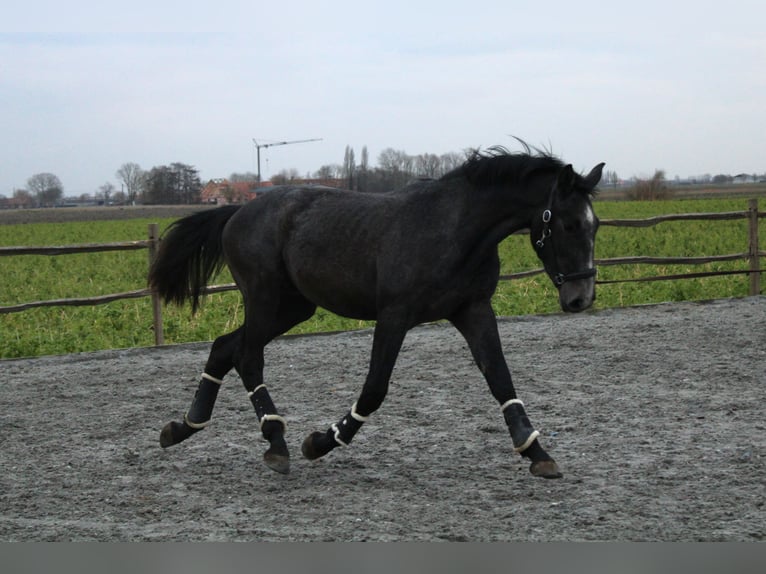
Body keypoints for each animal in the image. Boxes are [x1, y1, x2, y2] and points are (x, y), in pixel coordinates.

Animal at [150, 146, 608, 480]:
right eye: (567, 224)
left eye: (596, 224)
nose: (580, 297)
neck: (454, 230)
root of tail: (238, 212)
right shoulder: (394, 315)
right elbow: (374, 390)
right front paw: (320, 441)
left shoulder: (473, 310)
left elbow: (500, 378)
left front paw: (537, 452)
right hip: (265, 300)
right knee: (246, 356)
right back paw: (276, 443)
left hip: (293, 308)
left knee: (224, 348)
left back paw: (183, 427)